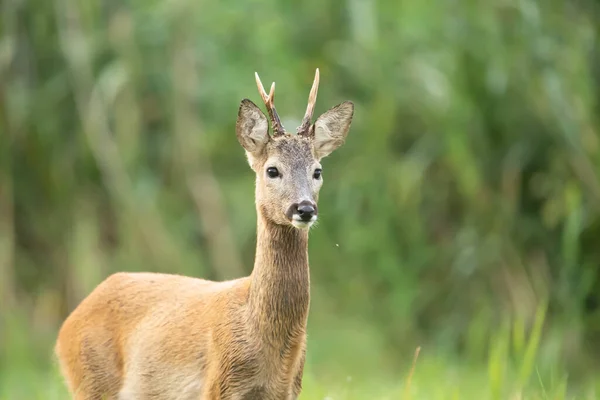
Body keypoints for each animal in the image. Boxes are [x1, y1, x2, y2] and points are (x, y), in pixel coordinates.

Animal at [54, 67, 354, 398]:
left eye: (317, 171)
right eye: (272, 170)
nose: (304, 208)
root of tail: (66, 327)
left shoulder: (289, 390)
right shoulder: (218, 385)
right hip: (91, 382)